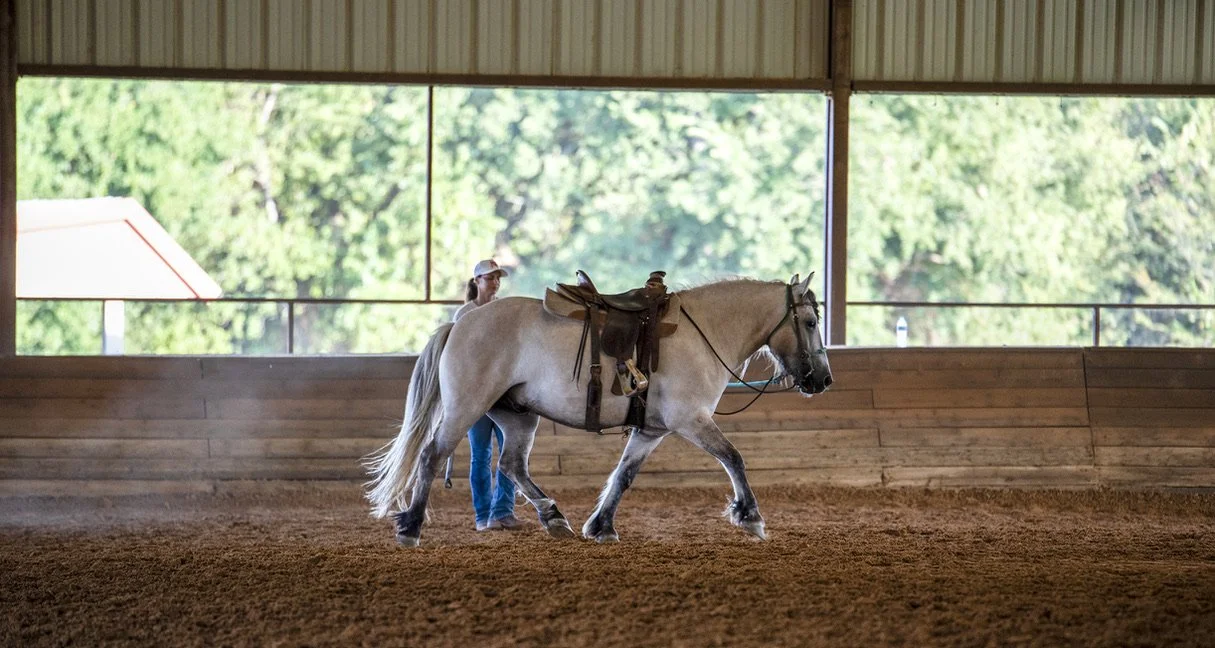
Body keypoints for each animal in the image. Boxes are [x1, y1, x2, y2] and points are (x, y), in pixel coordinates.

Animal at [365, 273, 833, 546]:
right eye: (810, 322)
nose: (824, 380)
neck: (704, 332)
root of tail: (461, 323)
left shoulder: (650, 430)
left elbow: (623, 475)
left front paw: (601, 525)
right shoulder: (691, 420)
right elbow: (733, 458)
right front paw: (750, 516)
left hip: (517, 416)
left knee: (512, 466)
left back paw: (554, 517)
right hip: (466, 408)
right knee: (432, 456)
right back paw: (410, 527)